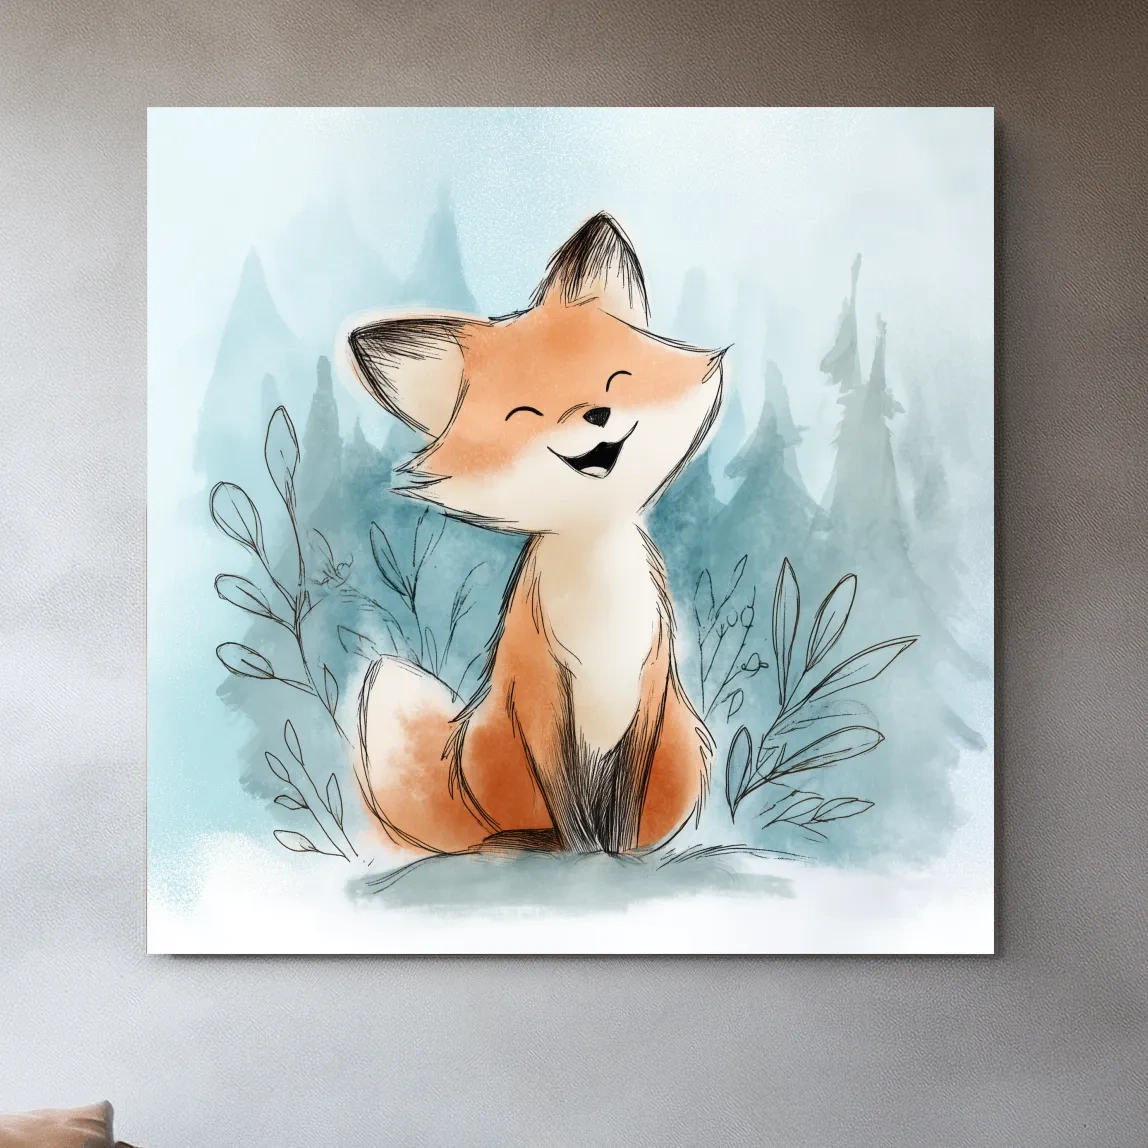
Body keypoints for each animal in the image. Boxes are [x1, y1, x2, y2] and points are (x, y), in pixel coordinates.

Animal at [342, 212, 725, 856]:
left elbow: (623, 809)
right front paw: (586, 855)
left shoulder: (649, 682)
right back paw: (526, 842)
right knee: (513, 831)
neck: (598, 601)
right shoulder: (541, 694)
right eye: (526, 414)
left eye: (616, 379)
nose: (596, 415)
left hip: (684, 747)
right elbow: (571, 809)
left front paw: (619, 856)